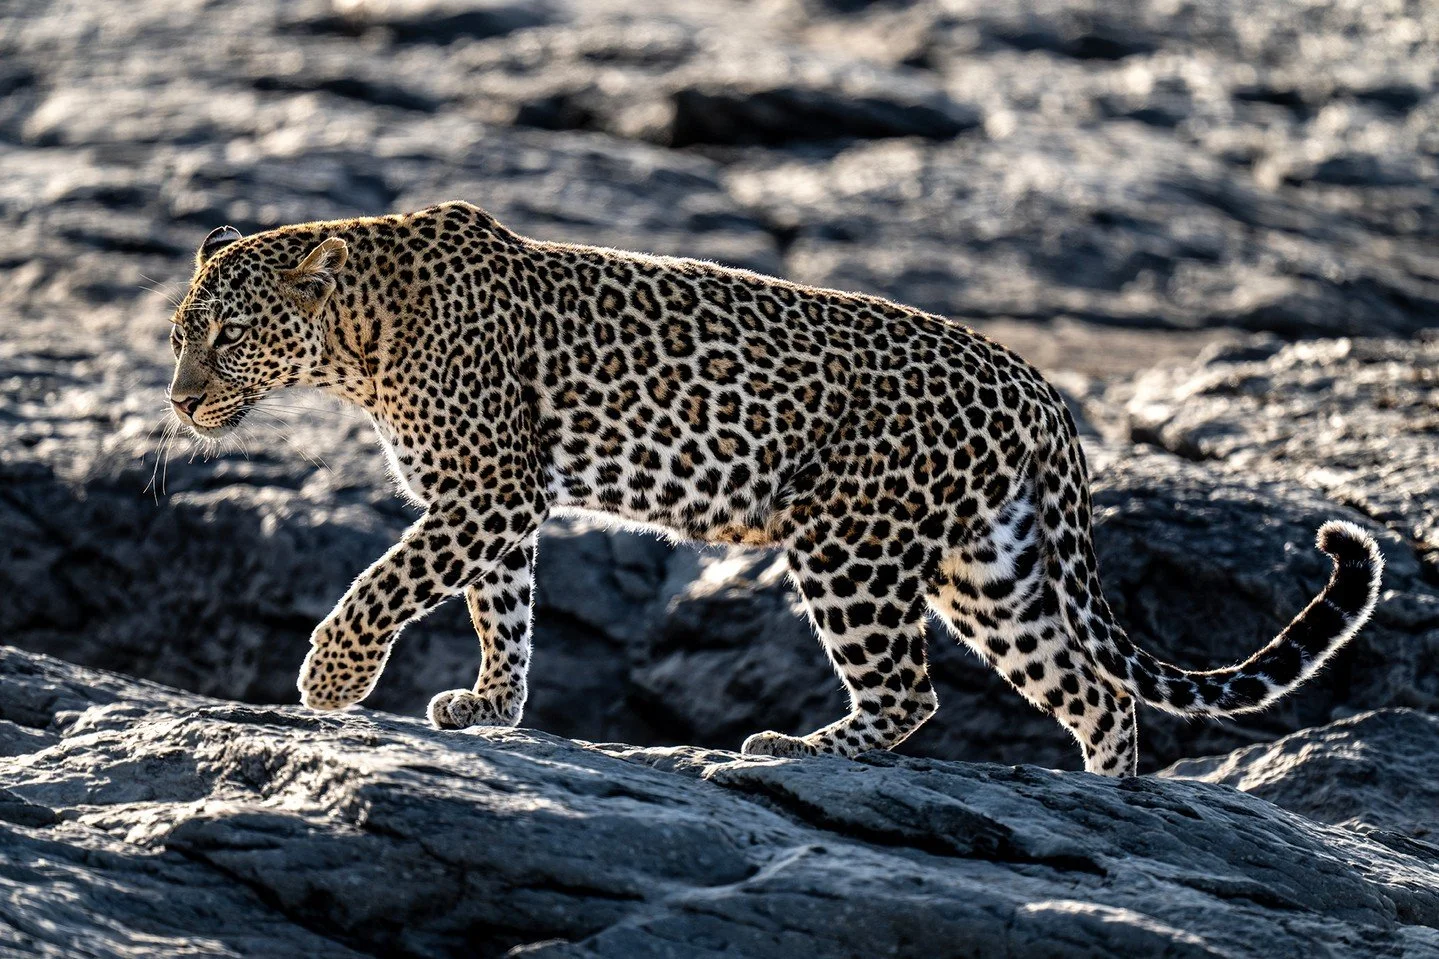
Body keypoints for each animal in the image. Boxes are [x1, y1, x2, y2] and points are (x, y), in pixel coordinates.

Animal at [165, 201, 1384, 775]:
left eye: (224, 335)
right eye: (182, 334)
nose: (178, 401)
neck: (357, 341)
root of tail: (1040, 386)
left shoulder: (489, 487)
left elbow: (388, 578)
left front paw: (329, 678)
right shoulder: (499, 505)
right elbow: (499, 609)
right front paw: (491, 705)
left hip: (850, 542)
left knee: (911, 692)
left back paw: (796, 748)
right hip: (989, 567)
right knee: (1096, 688)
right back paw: (1105, 798)